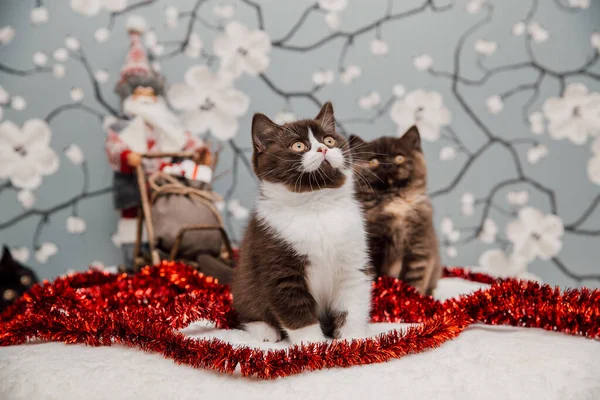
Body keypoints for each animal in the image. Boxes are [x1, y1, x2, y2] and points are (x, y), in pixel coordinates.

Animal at [232, 103, 372, 344]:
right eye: (298, 146)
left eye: (329, 140)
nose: (323, 149)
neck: (316, 205)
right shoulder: (275, 258)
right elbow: (296, 311)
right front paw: (312, 346)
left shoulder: (352, 257)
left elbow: (352, 301)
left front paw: (352, 341)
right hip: (244, 279)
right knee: (248, 308)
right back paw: (264, 330)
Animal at [352, 126, 440, 296]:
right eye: (373, 161)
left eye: (399, 158)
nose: (387, 164)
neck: (395, 200)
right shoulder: (372, 244)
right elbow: (372, 275)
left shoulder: (419, 246)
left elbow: (414, 280)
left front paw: (412, 300)